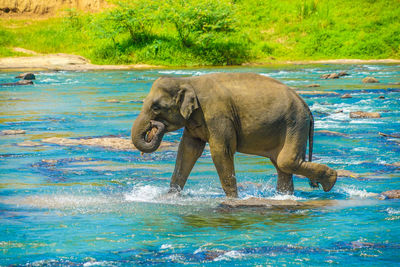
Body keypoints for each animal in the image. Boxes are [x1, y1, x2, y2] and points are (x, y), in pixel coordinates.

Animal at [130, 73, 334, 199]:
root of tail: (306, 106)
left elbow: (220, 151)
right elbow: (188, 150)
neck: (187, 80)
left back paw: (330, 181)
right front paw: (169, 197)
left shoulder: (218, 115)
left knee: (286, 161)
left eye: (156, 107)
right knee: (281, 165)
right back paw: (285, 197)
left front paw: (233, 200)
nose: (154, 126)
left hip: (295, 123)